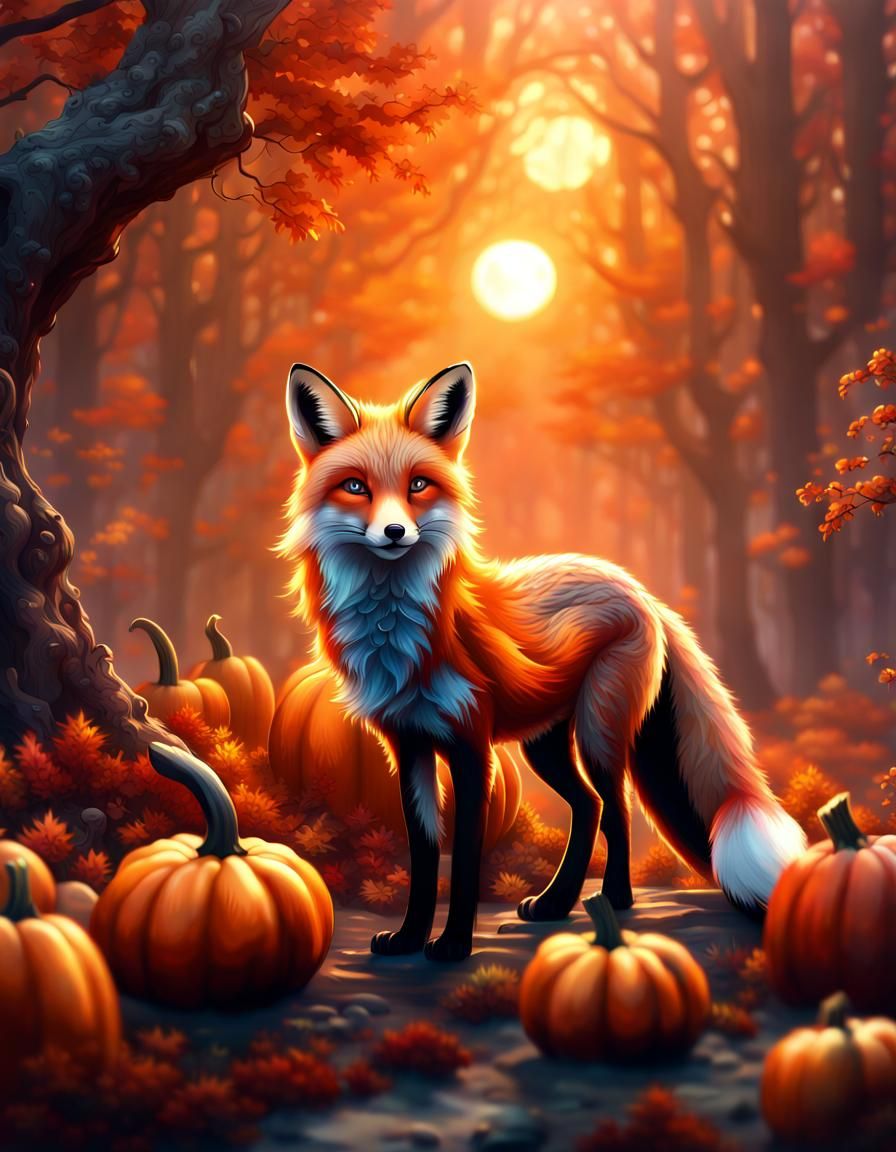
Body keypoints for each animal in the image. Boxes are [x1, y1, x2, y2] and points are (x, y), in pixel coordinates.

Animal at [279, 360, 807, 962]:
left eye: (417, 485)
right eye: (355, 487)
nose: (394, 532)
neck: (398, 634)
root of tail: (639, 590)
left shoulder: (471, 745)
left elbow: (465, 856)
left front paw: (453, 945)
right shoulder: (408, 745)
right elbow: (423, 855)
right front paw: (410, 937)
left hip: (598, 734)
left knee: (615, 809)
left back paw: (616, 901)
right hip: (544, 745)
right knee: (588, 807)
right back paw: (557, 903)